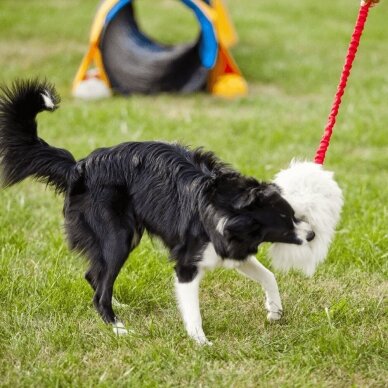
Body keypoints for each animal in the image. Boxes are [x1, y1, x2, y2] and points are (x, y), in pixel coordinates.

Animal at [0, 80, 314, 344]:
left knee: (94, 276)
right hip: (118, 236)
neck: (228, 205)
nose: (312, 234)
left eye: (294, 214)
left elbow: (268, 276)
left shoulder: (230, 249)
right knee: (100, 289)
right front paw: (202, 343)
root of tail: (78, 167)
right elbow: (192, 309)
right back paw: (118, 327)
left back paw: (117, 306)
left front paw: (274, 310)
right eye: (284, 222)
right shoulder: (187, 263)